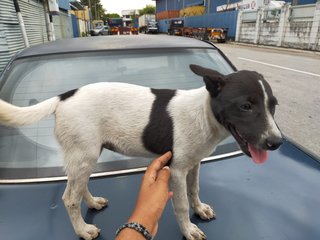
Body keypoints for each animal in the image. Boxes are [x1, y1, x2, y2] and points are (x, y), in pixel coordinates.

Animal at [0, 63, 282, 240]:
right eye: (245, 106)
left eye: (274, 106)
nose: (276, 142)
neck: (204, 114)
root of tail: (64, 96)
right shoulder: (177, 170)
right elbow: (181, 204)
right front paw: (188, 229)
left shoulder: (194, 164)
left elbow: (194, 190)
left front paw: (200, 209)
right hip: (84, 154)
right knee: (69, 198)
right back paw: (83, 230)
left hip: (85, 154)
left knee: (79, 187)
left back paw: (92, 202)